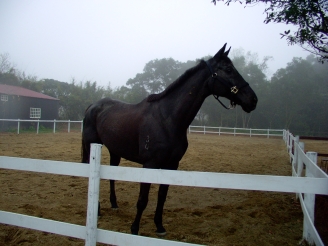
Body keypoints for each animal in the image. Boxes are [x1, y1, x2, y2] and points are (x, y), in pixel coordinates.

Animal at [80, 43, 258, 236]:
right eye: (228, 69)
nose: (253, 99)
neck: (167, 118)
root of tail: (92, 106)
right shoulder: (149, 164)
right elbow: (143, 199)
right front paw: (134, 229)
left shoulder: (172, 164)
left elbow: (162, 196)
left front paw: (159, 226)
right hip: (93, 147)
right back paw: (97, 210)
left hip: (115, 151)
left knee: (112, 176)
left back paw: (113, 204)